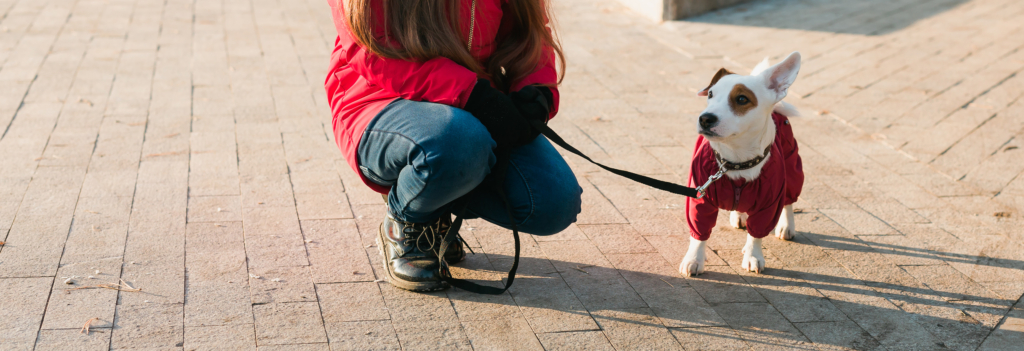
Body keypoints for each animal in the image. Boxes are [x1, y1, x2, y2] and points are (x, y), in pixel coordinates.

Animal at [679, 52, 806, 278]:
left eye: (741, 99)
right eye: (710, 94)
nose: (705, 118)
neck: (734, 162)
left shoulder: (769, 203)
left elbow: (756, 234)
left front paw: (753, 256)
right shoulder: (699, 197)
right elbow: (699, 232)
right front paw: (694, 259)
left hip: (792, 168)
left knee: (789, 201)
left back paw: (786, 226)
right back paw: (738, 214)